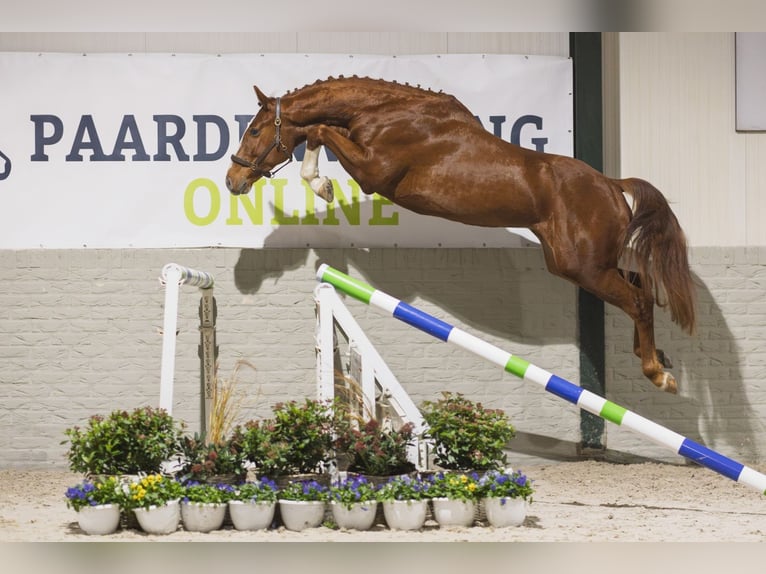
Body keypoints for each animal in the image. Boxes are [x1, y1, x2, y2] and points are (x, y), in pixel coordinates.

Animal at [226, 76, 696, 394]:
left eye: (255, 131)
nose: (233, 181)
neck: (384, 113)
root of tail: (612, 185)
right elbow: (317, 132)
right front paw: (321, 183)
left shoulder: (373, 170)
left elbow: (319, 130)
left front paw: (320, 184)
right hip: (587, 262)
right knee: (642, 288)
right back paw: (652, 355)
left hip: (583, 267)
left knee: (638, 300)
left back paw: (658, 374)